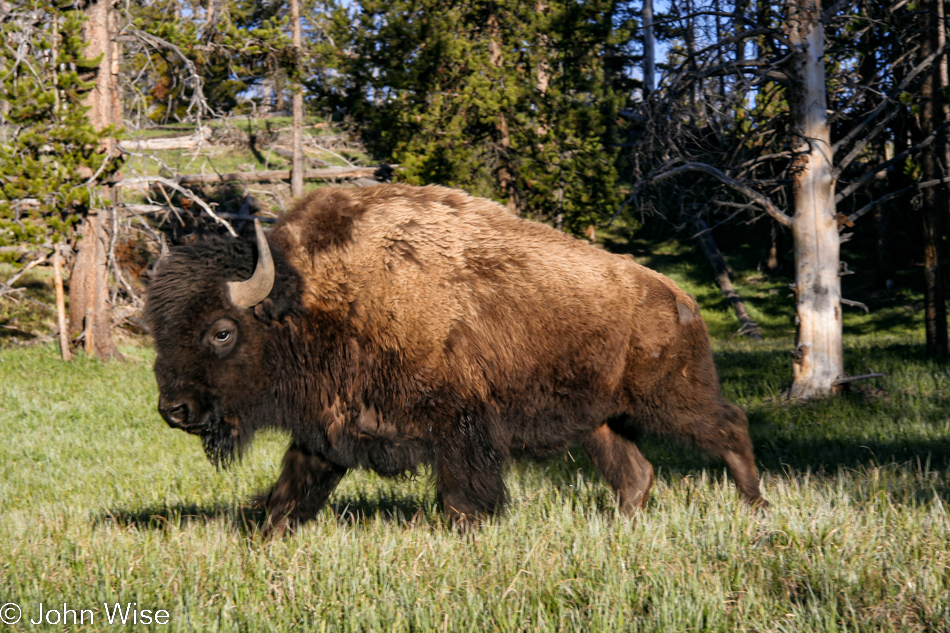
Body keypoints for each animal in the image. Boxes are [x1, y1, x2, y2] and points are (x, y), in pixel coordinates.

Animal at [145, 184, 768, 532]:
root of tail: (680, 297)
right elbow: (290, 493)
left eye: (221, 332)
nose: (174, 410)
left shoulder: (460, 429)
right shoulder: (329, 429)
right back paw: (624, 526)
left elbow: (463, 499)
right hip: (601, 422)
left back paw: (754, 508)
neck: (315, 296)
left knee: (730, 427)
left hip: (673, 399)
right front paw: (268, 536)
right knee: (635, 473)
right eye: (158, 329)